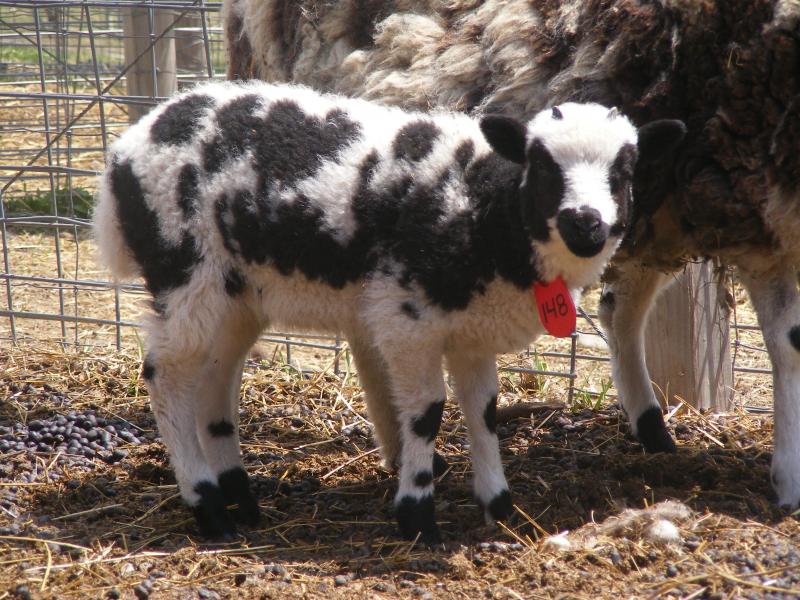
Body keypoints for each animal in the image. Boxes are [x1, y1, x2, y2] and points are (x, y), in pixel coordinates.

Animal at [93, 80, 684, 541]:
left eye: (624, 171)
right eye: (541, 166)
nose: (585, 224)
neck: (482, 209)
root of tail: (125, 148)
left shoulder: (473, 331)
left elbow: (484, 413)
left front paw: (499, 505)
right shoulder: (407, 319)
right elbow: (427, 413)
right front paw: (417, 515)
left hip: (236, 294)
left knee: (215, 381)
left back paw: (241, 500)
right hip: (185, 269)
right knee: (168, 379)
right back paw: (209, 508)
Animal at [223, 0, 800, 509]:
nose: (584, 224)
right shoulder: (765, 212)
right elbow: (791, 346)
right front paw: (789, 481)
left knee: (620, 309)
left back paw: (650, 427)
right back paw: (404, 450)